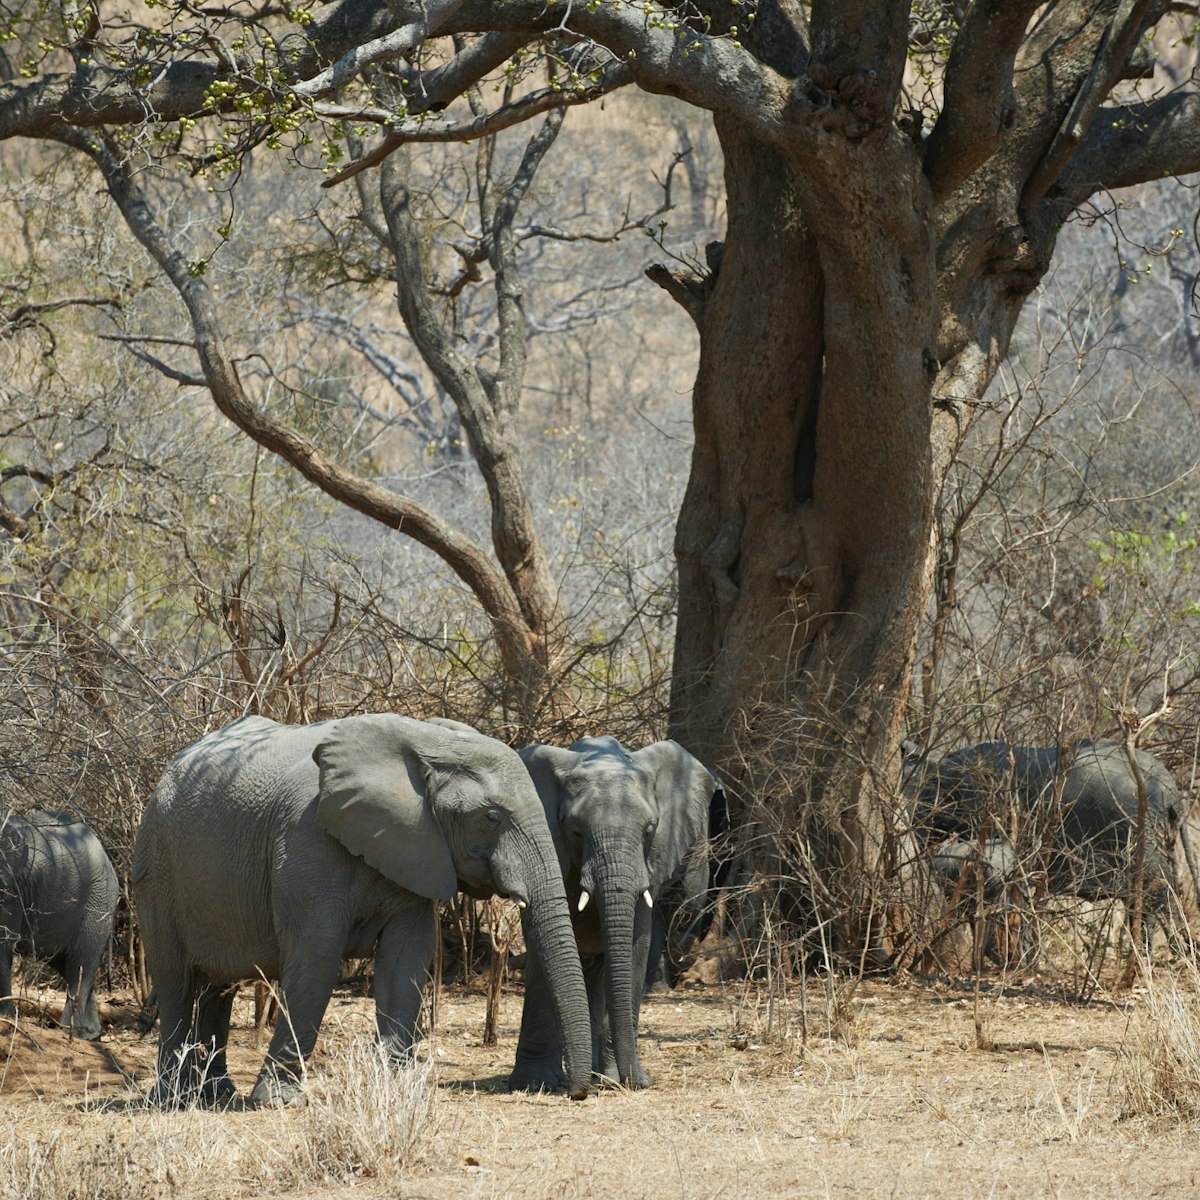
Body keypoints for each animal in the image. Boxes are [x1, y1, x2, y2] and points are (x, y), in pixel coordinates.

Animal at [0, 809, 119, 1040]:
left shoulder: (10, 887)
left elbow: (4, 942)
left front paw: (5, 1018)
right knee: (67, 965)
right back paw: (90, 1035)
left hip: (97, 904)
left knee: (81, 963)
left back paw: (69, 1032)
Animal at [133, 713, 592, 1107]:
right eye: (492, 817)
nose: (577, 1093)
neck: (427, 743)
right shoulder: (305, 838)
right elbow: (316, 958)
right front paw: (278, 1101)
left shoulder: (415, 849)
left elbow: (407, 957)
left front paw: (395, 1089)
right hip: (156, 867)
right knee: (176, 980)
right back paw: (173, 1100)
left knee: (218, 987)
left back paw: (214, 1094)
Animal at [515, 735, 722, 1089]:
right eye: (576, 831)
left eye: (650, 830)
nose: (641, 1081)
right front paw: (535, 1084)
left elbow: (635, 949)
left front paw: (621, 1082)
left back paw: (600, 1076)